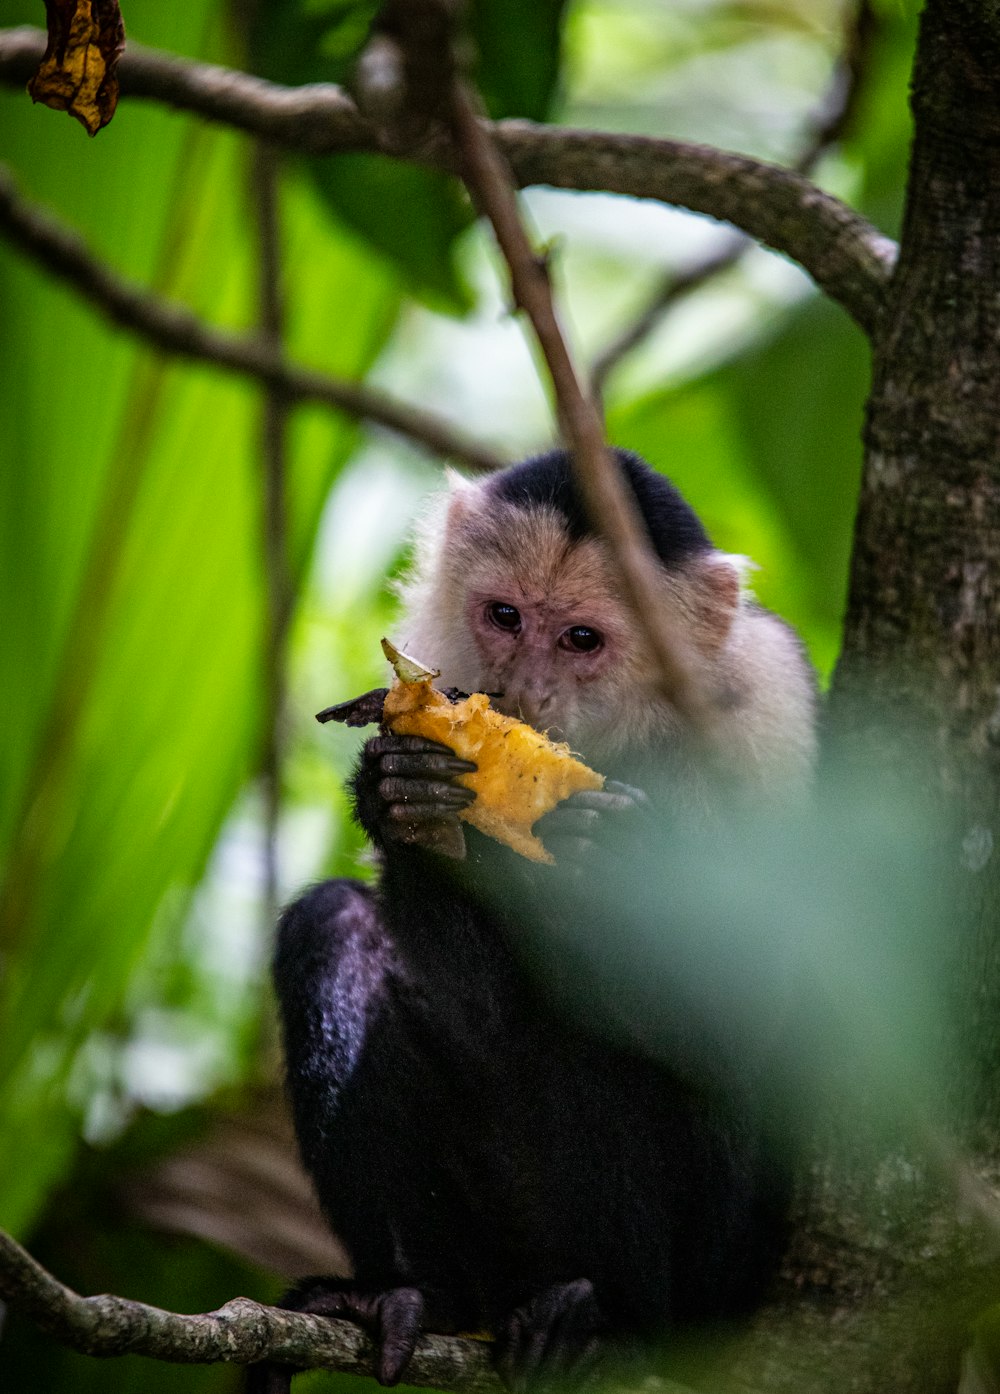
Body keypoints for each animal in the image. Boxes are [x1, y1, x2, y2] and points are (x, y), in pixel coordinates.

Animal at [248, 448, 808, 1394]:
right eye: (505, 617)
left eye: (581, 640)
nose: (521, 692)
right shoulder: (439, 652)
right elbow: (469, 1002)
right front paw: (405, 800)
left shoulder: (766, 720)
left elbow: (756, 1024)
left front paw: (615, 866)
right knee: (334, 926)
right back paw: (408, 1297)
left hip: (712, 1287)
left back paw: (600, 1318)